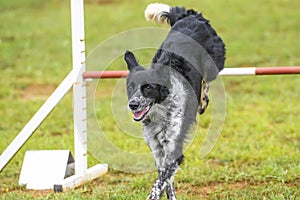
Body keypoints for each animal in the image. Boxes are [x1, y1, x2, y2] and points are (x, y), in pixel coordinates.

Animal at [124, 3, 225, 200]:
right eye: (130, 87)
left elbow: (160, 181)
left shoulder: (174, 148)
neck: (159, 112)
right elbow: (166, 178)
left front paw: (154, 195)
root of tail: (191, 16)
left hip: (214, 63)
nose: (133, 105)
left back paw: (203, 101)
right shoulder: (157, 149)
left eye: (148, 87)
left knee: (207, 80)